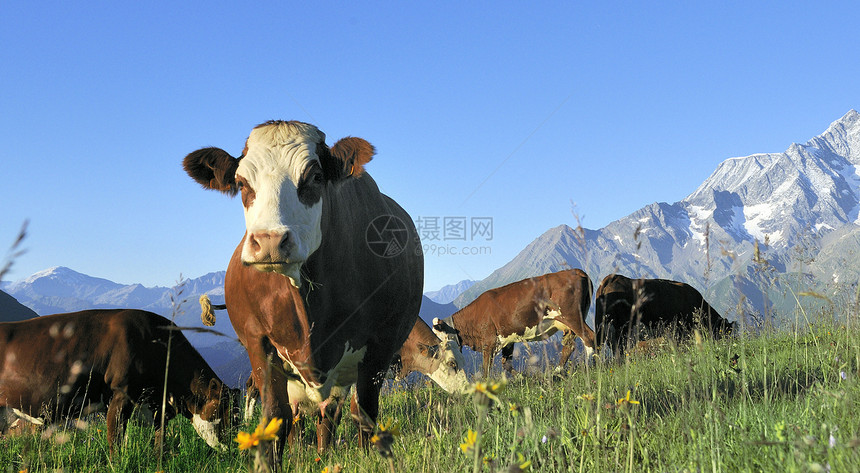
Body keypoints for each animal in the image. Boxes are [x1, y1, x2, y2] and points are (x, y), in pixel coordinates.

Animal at [0, 308, 239, 452]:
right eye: (224, 412)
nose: (236, 448)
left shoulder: (158, 408)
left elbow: (159, 444)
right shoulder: (120, 394)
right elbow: (115, 443)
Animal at [185, 119, 424, 464]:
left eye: (315, 177)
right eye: (242, 183)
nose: (270, 241)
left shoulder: (381, 344)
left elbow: (364, 413)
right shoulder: (259, 342)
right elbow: (276, 417)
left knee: (332, 413)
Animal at [434, 270, 596, 376]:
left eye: (441, 340)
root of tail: (575, 271)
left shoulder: (489, 341)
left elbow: (486, 369)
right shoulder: (508, 339)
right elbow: (506, 363)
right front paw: (521, 377)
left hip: (572, 316)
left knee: (589, 337)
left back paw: (589, 368)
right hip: (568, 322)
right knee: (569, 345)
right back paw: (557, 372)